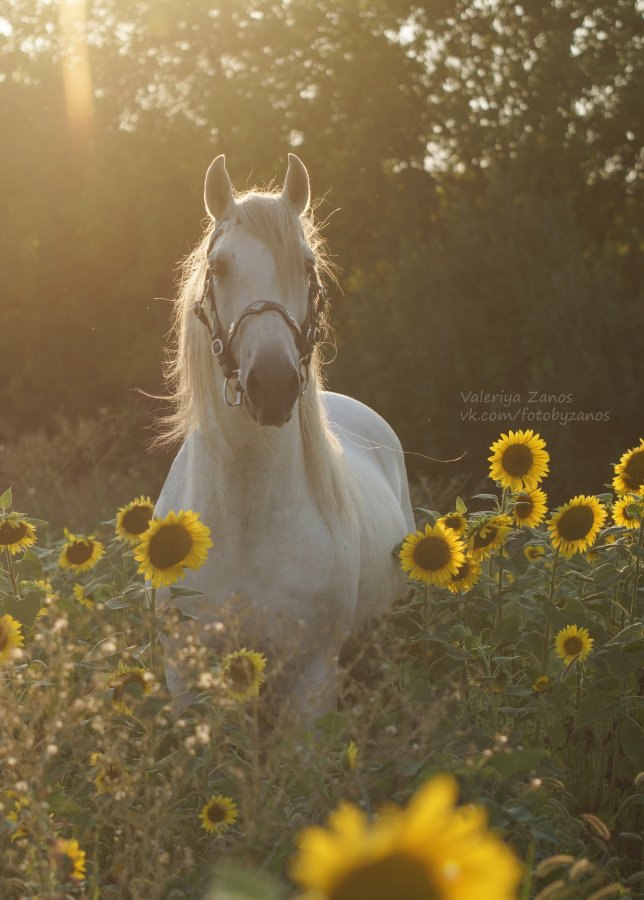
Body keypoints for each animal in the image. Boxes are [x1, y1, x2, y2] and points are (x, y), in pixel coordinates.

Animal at [158, 153, 416, 716]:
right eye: (218, 268)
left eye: (306, 266)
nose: (273, 384)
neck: (245, 520)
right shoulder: (186, 677)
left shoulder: (311, 678)